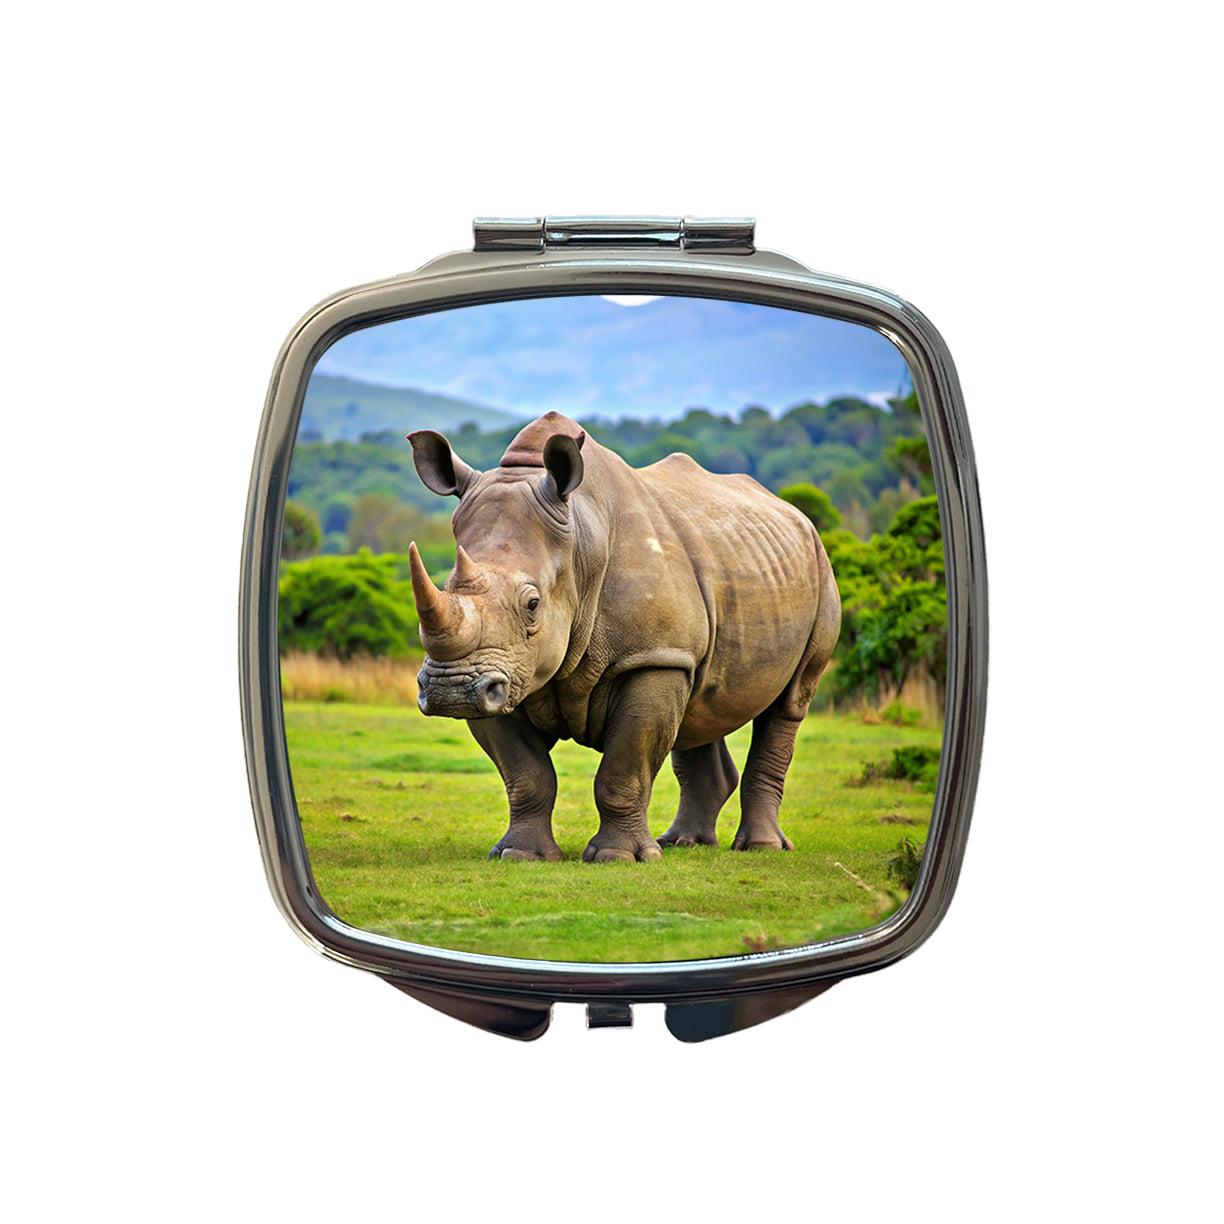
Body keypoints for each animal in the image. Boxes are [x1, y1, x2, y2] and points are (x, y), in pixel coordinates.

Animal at [408, 412, 840, 862]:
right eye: (445, 586)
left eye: (532, 605)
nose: (449, 690)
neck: (581, 539)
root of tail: (794, 514)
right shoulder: (506, 674)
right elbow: (526, 774)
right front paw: (521, 855)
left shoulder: (651, 656)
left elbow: (624, 768)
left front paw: (619, 857)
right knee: (699, 706)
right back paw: (683, 843)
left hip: (819, 568)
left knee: (789, 703)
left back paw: (760, 848)